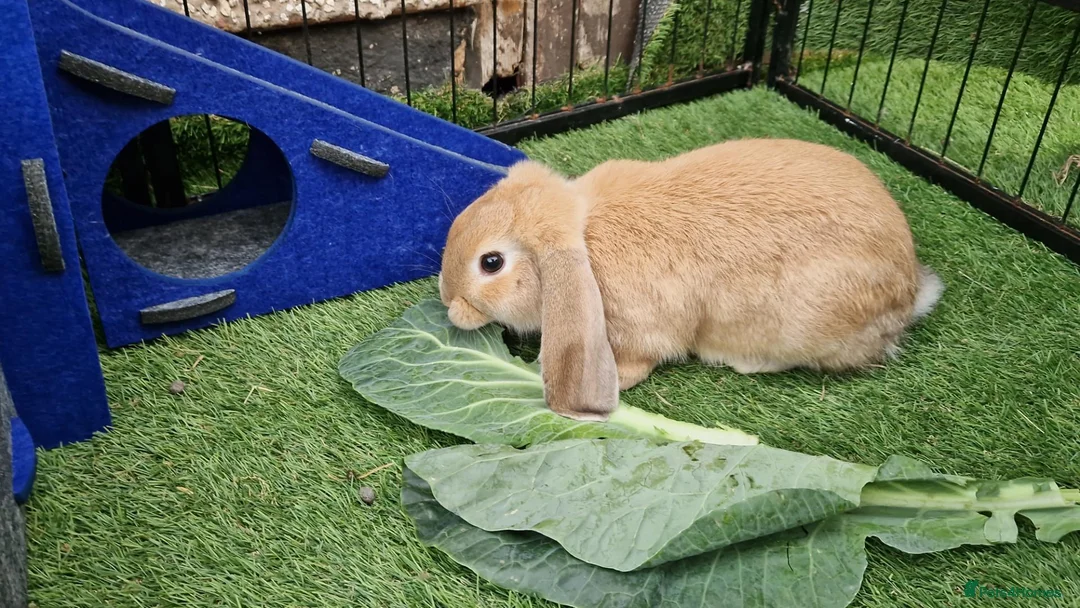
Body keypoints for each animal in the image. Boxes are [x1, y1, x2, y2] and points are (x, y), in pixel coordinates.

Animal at [438, 138, 944, 421]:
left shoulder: (642, 331)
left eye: (491, 263)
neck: (585, 235)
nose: (447, 298)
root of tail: (909, 292)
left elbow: (641, 361)